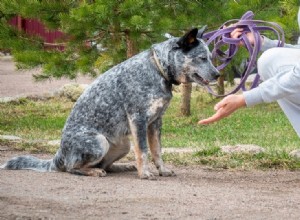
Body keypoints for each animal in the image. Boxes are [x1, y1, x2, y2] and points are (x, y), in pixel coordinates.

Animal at [1, 27, 219, 179]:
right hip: (99, 141)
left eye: (210, 57)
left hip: (124, 145)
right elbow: (144, 151)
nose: (218, 74)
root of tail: (58, 156)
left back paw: (122, 167)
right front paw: (145, 174)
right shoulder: (138, 119)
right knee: (73, 168)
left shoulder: (156, 121)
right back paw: (94, 172)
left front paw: (162, 170)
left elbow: (157, 151)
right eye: (202, 58)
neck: (157, 68)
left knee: (104, 165)